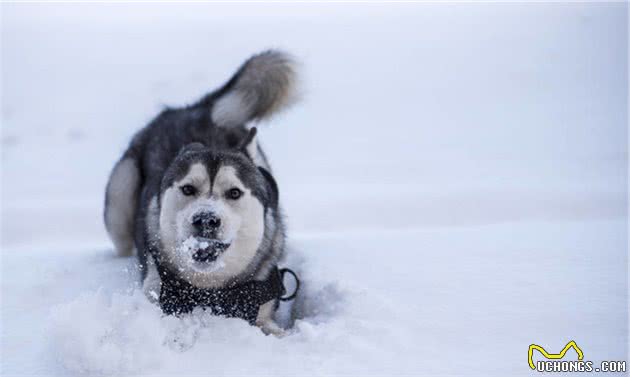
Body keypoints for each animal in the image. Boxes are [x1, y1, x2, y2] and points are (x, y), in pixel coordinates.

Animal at [103, 50, 298, 334]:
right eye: (188, 189)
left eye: (234, 193)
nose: (206, 219)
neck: (210, 291)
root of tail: (194, 110)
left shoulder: (262, 307)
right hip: (120, 190)